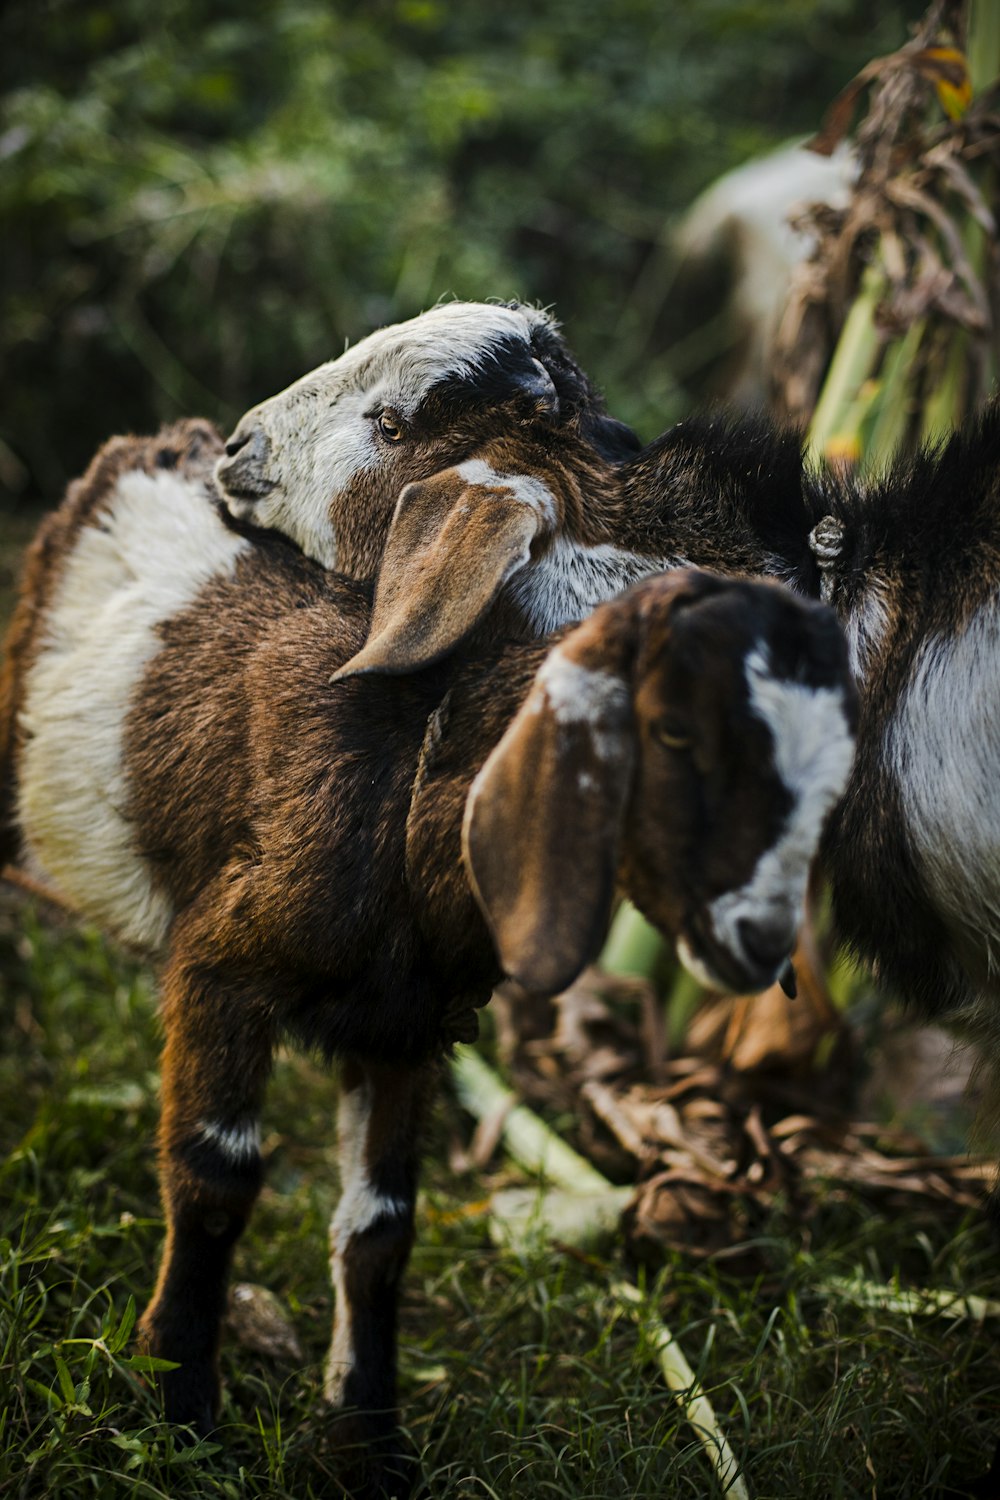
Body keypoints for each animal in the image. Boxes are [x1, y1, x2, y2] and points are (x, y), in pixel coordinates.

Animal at [0, 429, 863, 1494]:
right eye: (673, 729)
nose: (760, 939)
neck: (404, 797)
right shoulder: (220, 970)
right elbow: (215, 1179)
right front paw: (177, 1411)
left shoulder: (406, 1033)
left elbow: (381, 1225)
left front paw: (366, 1440)